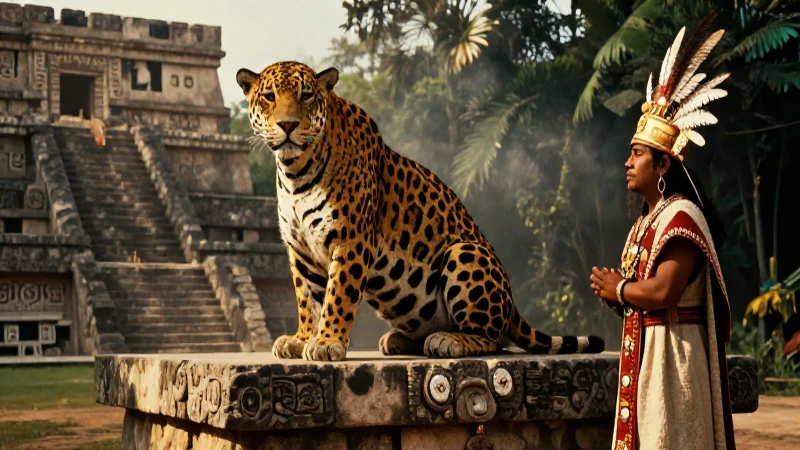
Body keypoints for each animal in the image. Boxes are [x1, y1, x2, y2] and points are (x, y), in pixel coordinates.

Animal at [236, 61, 605, 361]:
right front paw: (302, 338)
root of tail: (512, 305)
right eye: (268, 96)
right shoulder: (299, 249)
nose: (287, 124)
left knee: (492, 338)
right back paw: (399, 340)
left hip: (464, 252)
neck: (295, 171)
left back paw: (449, 341)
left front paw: (327, 343)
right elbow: (306, 300)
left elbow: (338, 295)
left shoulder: (351, 241)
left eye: (307, 95)